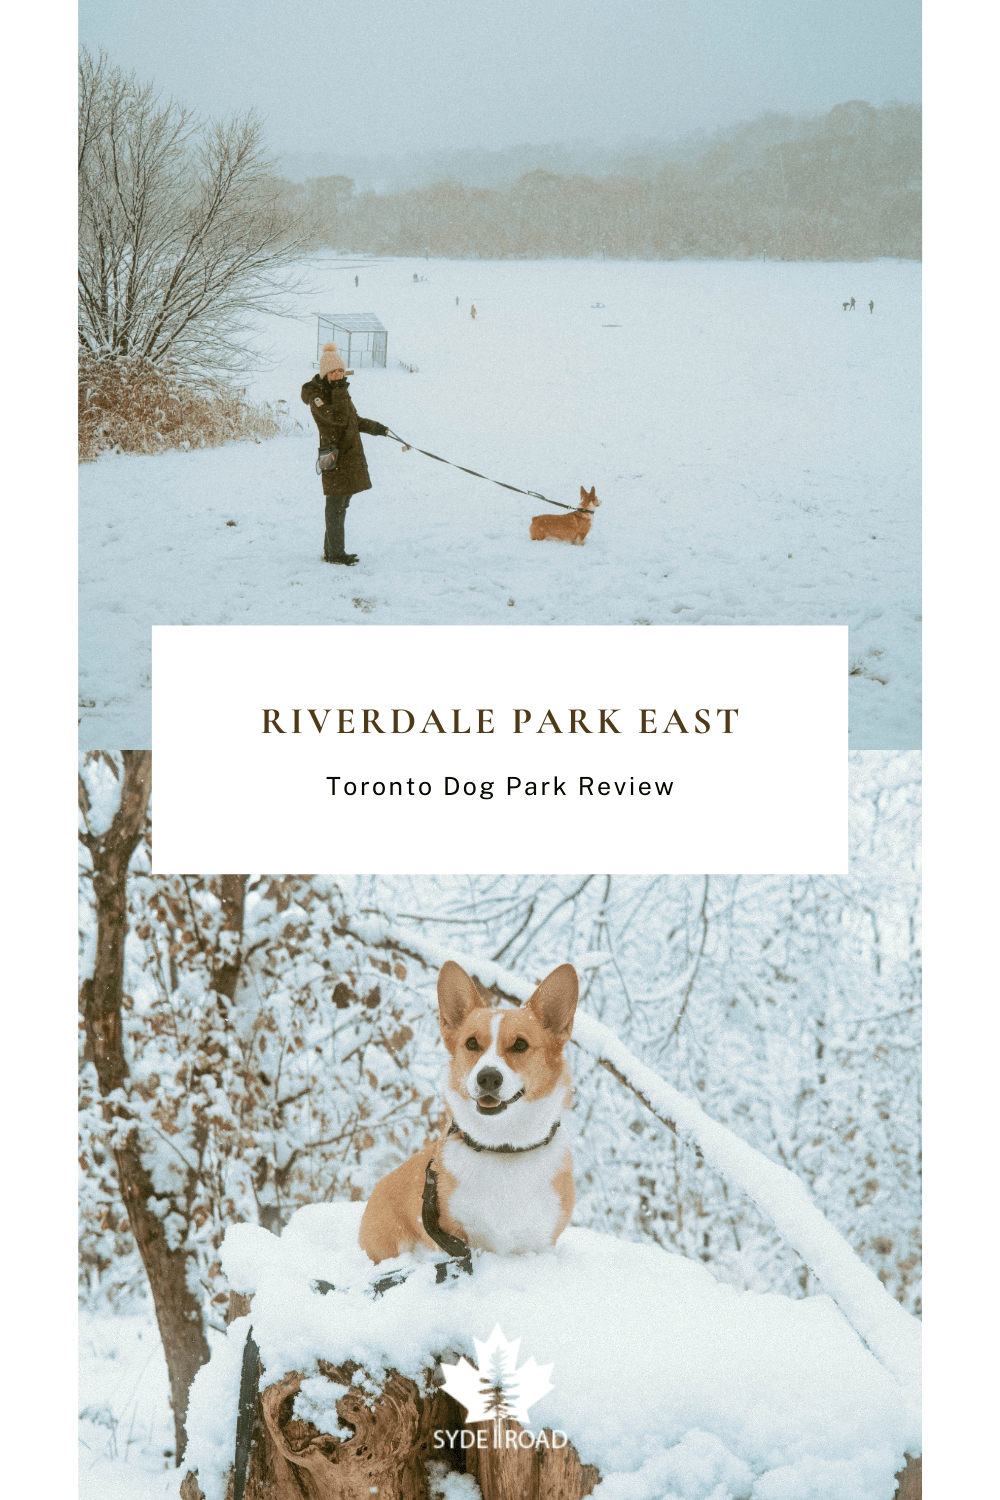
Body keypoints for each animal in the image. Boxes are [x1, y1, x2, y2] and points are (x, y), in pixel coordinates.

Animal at [359, 954, 578, 1260]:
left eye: (520, 1045)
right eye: (471, 1043)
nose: (488, 1077)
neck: (502, 1146)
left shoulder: (537, 1245)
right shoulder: (450, 1236)